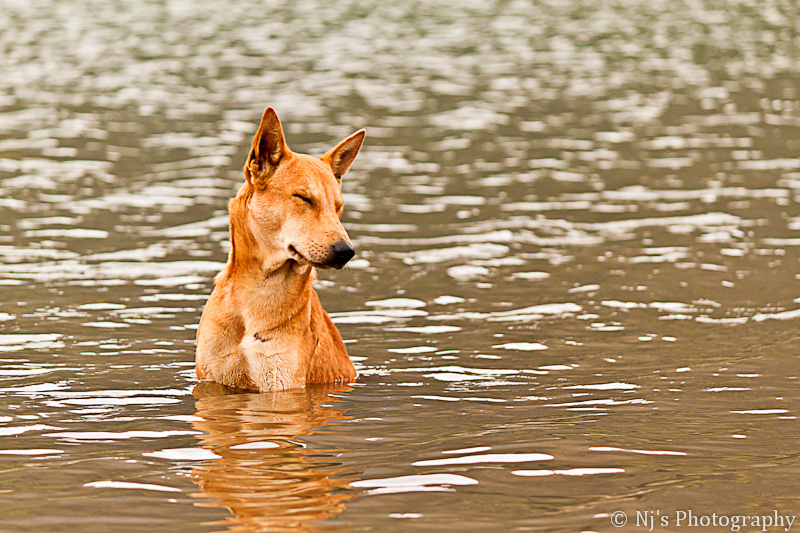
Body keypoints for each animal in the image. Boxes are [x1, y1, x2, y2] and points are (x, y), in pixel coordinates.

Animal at [195, 108, 364, 390]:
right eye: (303, 197)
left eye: (337, 206)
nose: (346, 251)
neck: (257, 296)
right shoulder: (212, 379)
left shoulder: (280, 383)